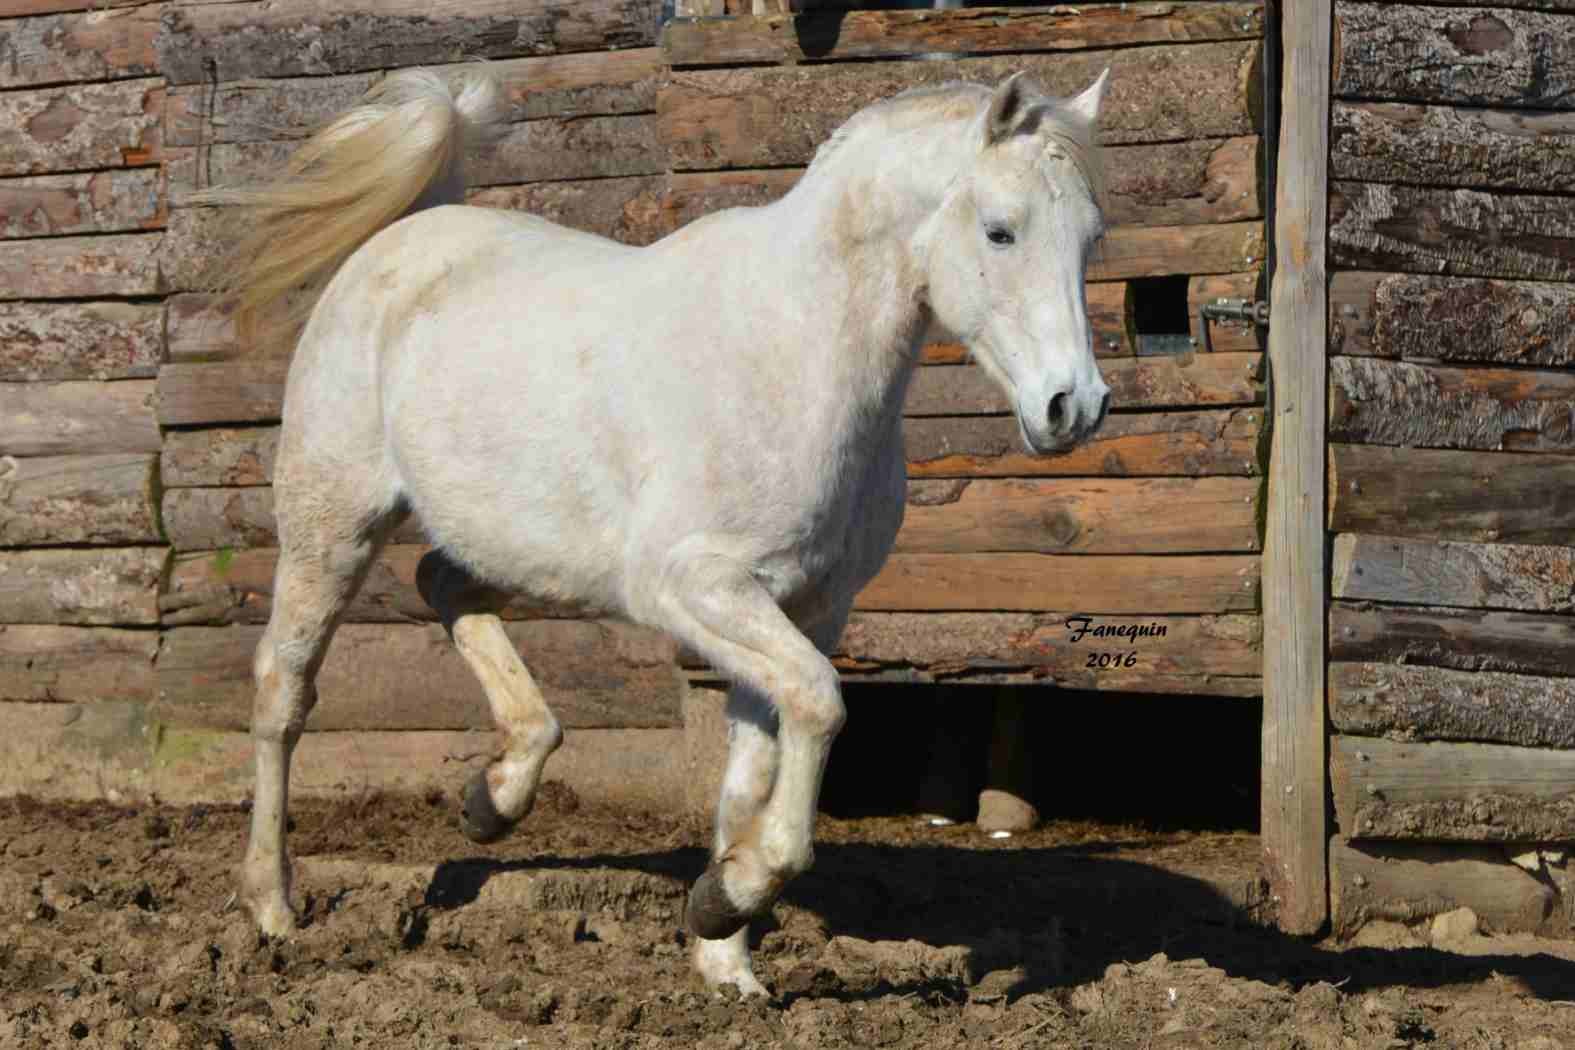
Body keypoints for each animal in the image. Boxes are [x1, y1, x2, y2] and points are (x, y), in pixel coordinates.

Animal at [196, 63, 1108, 994]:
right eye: (1000, 231)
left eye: (1088, 239)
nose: (1072, 409)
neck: (791, 357)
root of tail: (400, 240)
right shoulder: (697, 588)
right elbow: (820, 704)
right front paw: (731, 896)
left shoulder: (808, 607)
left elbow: (756, 765)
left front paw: (724, 954)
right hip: (333, 525)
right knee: (284, 693)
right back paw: (272, 908)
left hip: (509, 541)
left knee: (443, 588)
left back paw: (496, 797)